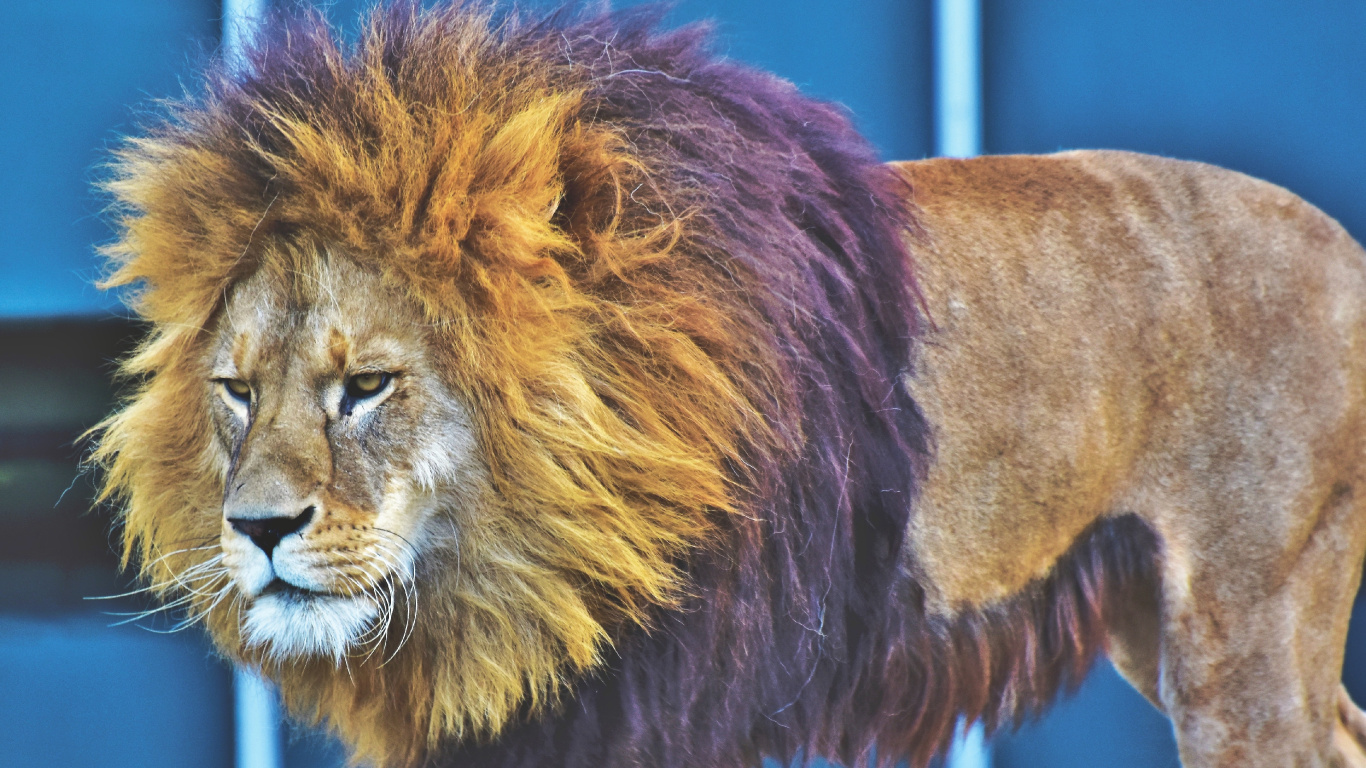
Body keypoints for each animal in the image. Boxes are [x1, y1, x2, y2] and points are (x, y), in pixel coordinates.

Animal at [92, 3, 1366, 767]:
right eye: (235, 391)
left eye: (365, 386)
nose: (256, 529)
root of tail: (1341, 241)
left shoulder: (671, 702)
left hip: (1238, 639)